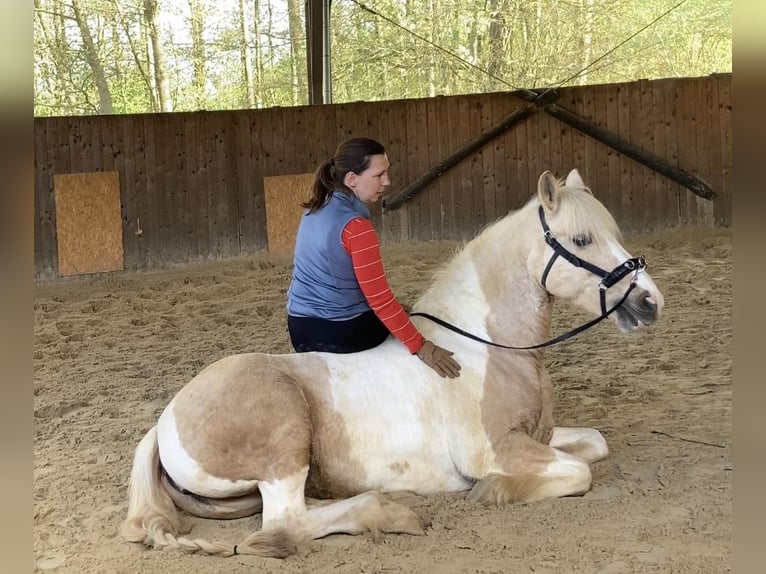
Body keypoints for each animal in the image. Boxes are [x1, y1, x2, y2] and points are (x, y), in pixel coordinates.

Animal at [120, 169, 664, 558]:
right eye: (581, 240)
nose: (650, 302)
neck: (486, 349)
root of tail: (165, 420)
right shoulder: (495, 450)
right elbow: (579, 473)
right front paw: (494, 491)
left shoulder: (540, 437)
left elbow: (594, 445)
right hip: (284, 443)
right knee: (285, 523)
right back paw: (391, 514)